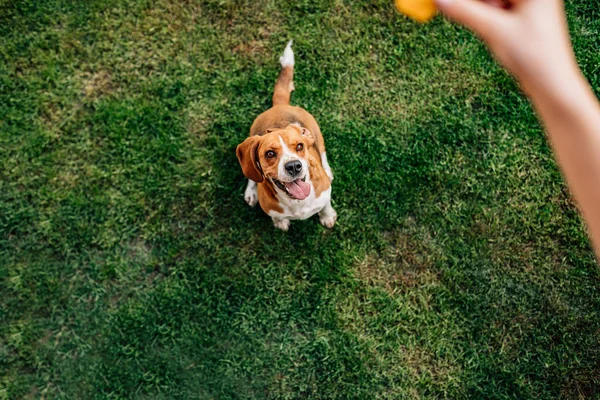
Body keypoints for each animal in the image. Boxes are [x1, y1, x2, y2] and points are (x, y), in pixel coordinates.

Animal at [236, 40, 338, 231]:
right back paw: (251, 192)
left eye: (299, 146)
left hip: (317, 133)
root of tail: (279, 105)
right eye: (269, 153)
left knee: (322, 152)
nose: (294, 167)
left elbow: (326, 206)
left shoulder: (325, 194)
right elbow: (276, 216)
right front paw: (280, 223)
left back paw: (327, 170)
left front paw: (327, 216)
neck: (297, 202)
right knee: (251, 175)